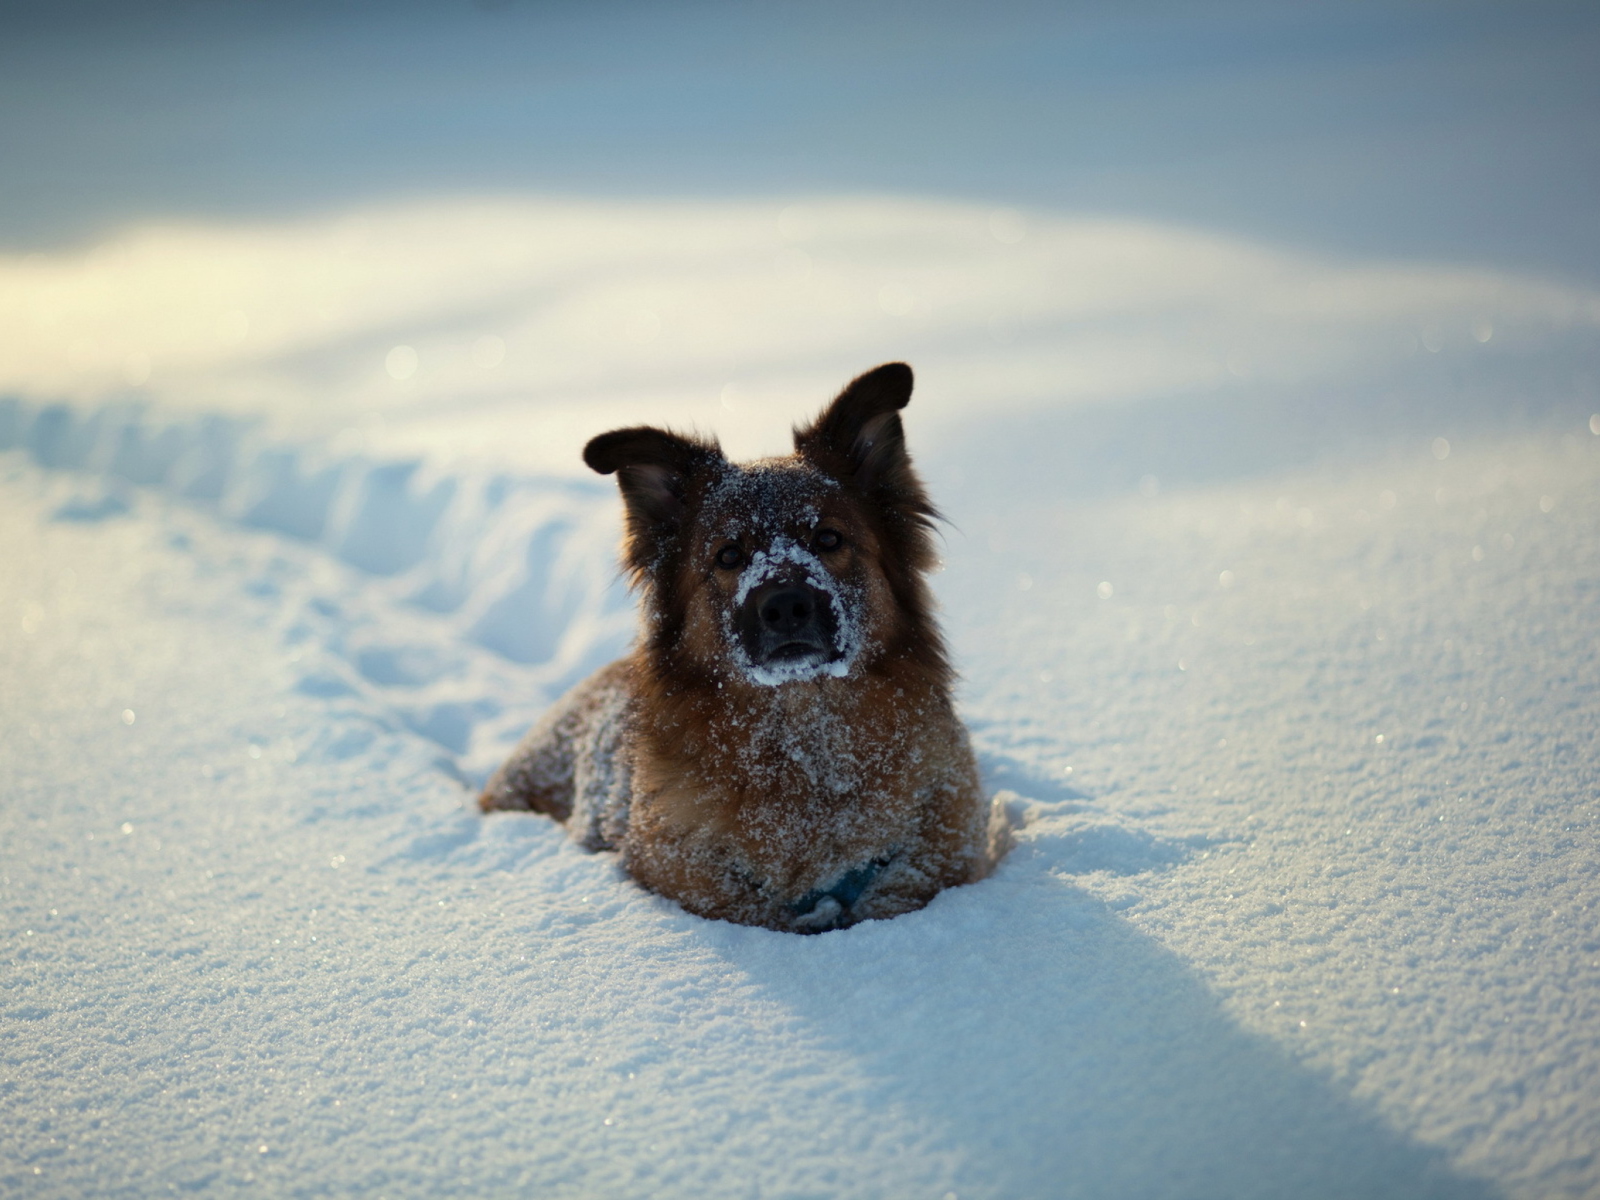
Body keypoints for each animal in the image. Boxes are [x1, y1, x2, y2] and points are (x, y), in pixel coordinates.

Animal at [476, 361, 998, 934]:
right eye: (728, 555)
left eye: (829, 539)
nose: (786, 605)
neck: (804, 747)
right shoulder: (682, 867)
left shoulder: (944, 843)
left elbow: (903, 891)